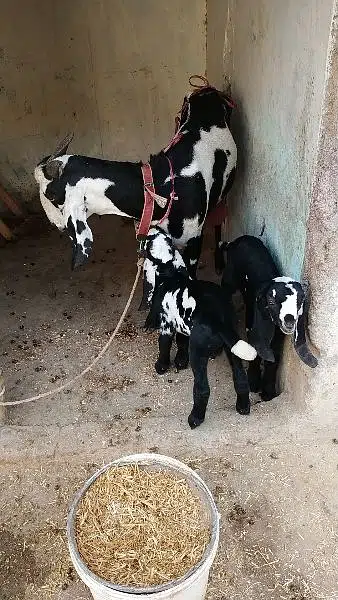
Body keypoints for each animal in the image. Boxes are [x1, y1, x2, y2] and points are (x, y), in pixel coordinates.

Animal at [142, 227, 256, 428]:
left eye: (149, 240)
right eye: (162, 236)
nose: (153, 227)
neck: (171, 272)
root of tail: (218, 319)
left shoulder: (167, 327)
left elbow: (164, 346)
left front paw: (161, 366)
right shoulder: (181, 325)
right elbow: (181, 341)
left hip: (198, 354)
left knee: (202, 389)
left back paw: (195, 418)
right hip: (233, 349)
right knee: (241, 378)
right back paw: (243, 407)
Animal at [218, 237, 318, 400]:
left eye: (300, 302)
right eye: (271, 301)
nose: (289, 321)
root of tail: (237, 240)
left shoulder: (279, 336)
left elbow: (274, 358)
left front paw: (268, 392)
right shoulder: (254, 324)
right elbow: (255, 347)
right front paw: (253, 382)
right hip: (229, 277)